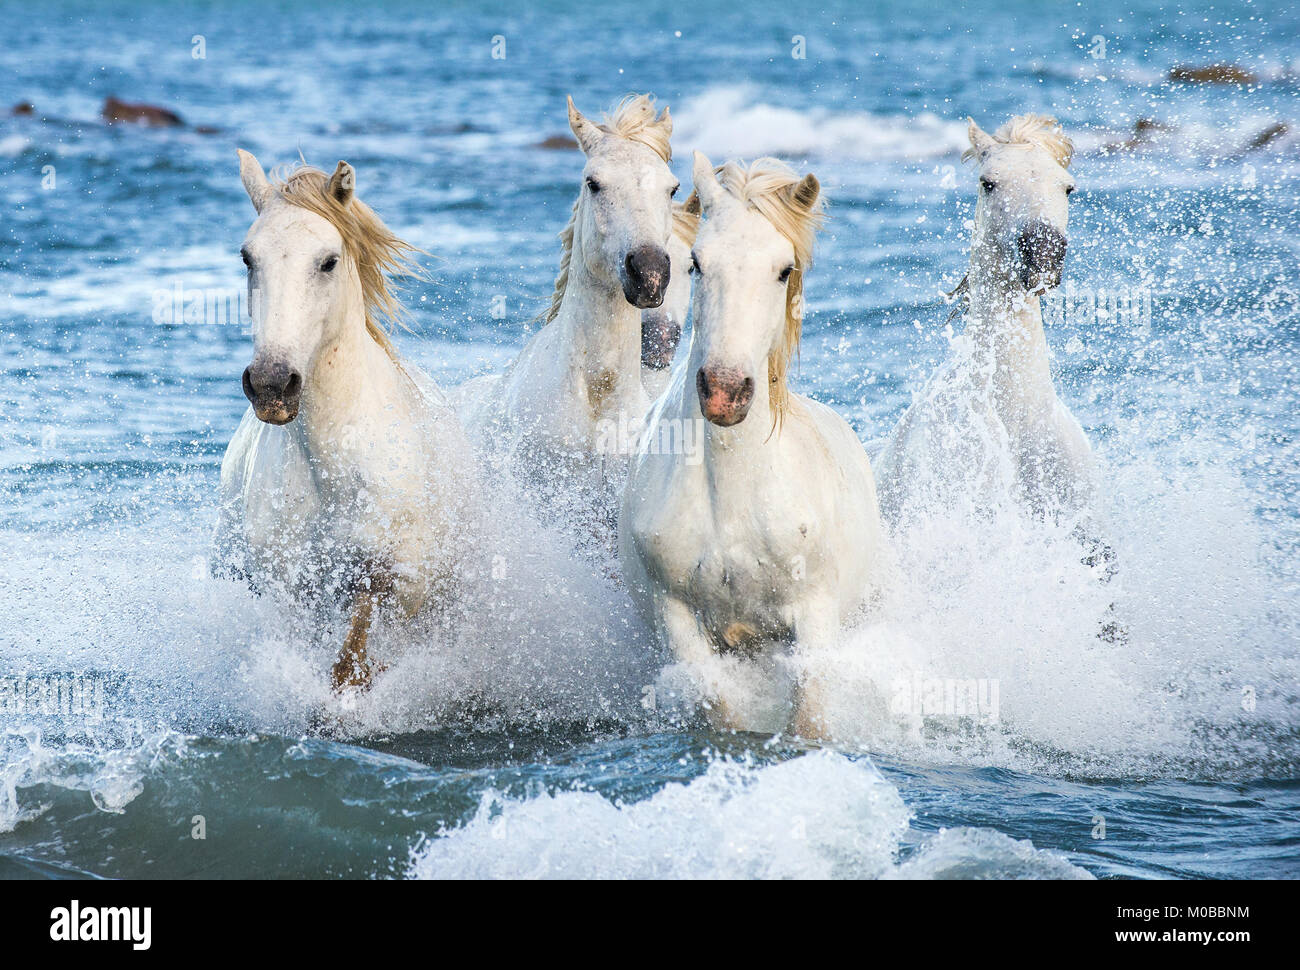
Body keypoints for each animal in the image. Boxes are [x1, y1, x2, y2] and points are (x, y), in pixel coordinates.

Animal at [213, 151, 482, 693]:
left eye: (328, 261)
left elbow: (354, 656)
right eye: (248, 258)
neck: (333, 474)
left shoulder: (398, 582)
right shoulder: (293, 592)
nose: (272, 384)